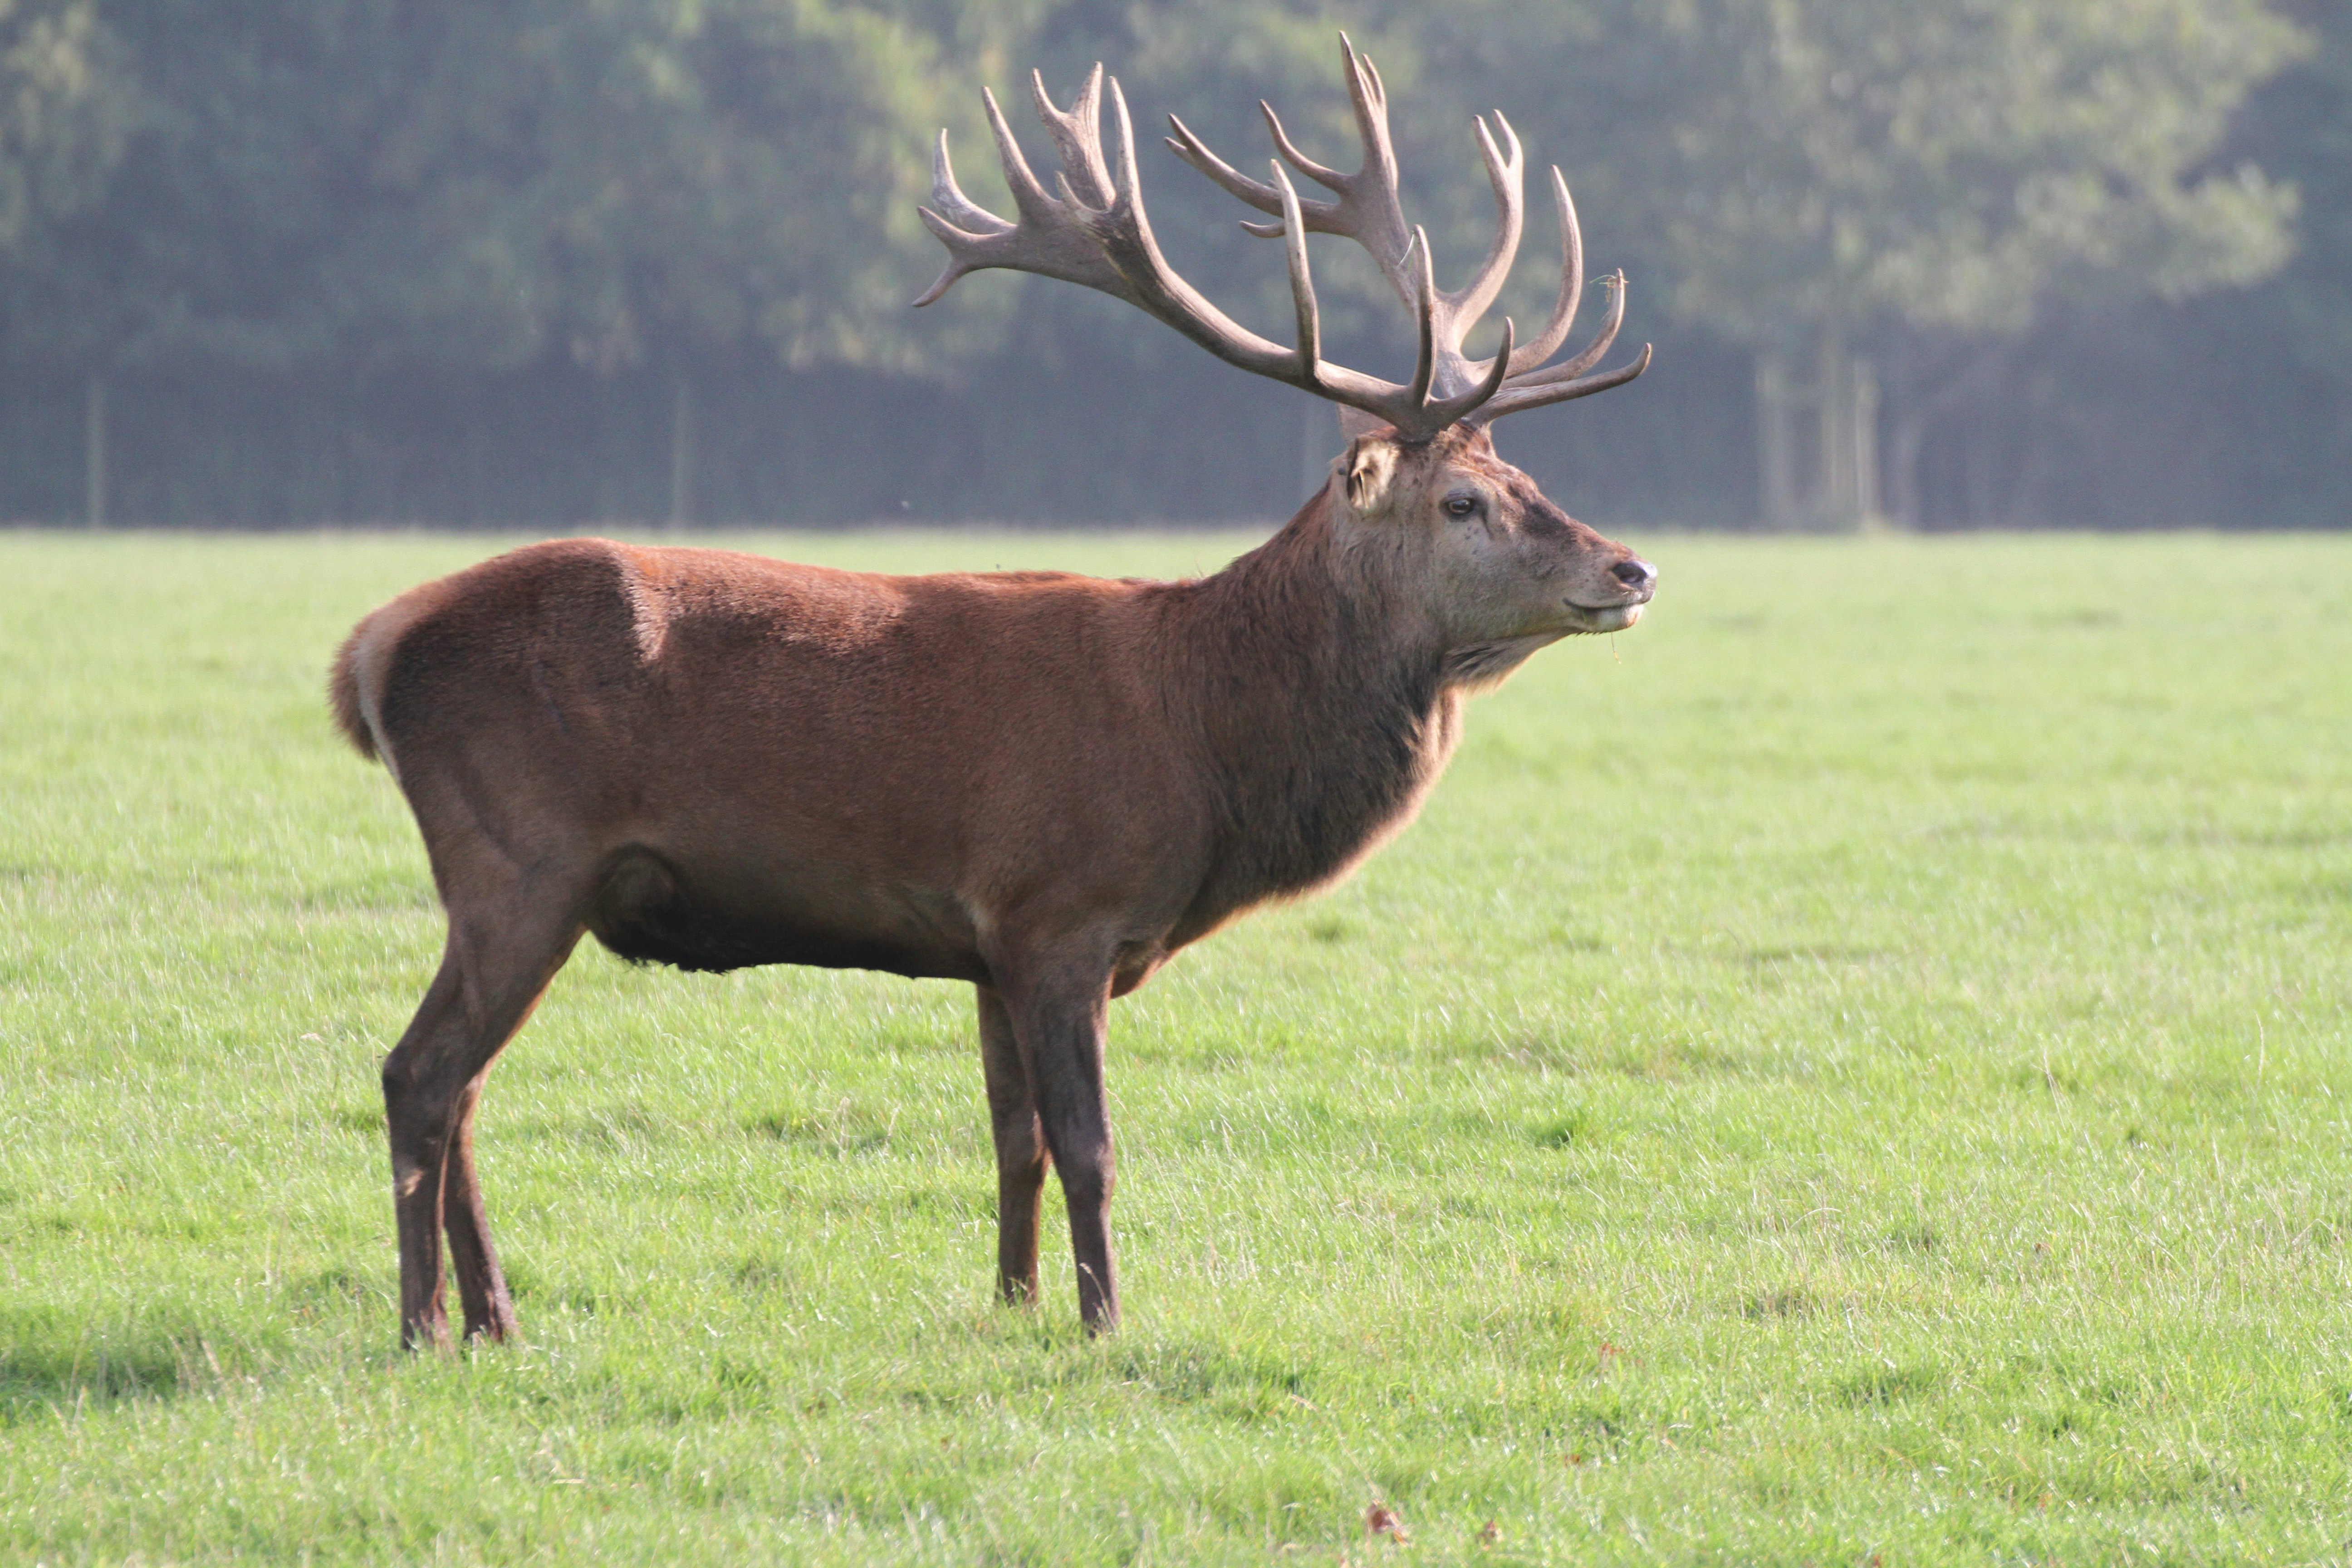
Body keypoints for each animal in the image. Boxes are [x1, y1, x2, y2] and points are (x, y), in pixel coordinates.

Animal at [332, 36, 1656, 1349]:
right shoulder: (1060, 907)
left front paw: (1015, 1307)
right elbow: (1089, 1145)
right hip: (520, 860)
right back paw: (423, 1325)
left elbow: (1012, 1142)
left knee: (462, 1090)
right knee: (420, 1075)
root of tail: (368, 654)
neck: (1210, 733)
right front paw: (1105, 1323)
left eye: (1525, 476)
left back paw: (496, 1319)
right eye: (1462, 503)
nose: (1630, 568)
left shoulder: (985, 943)